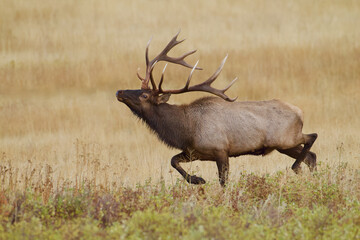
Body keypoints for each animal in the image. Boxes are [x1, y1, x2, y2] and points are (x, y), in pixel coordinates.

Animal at [116, 32, 316, 186]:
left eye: (144, 95)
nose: (119, 91)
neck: (186, 130)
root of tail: (300, 112)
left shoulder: (220, 150)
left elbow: (223, 181)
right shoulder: (194, 152)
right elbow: (173, 160)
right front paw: (197, 180)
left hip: (286, 138)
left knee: (312, 138)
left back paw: (296, 167)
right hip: (284, 145)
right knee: (311, 156)